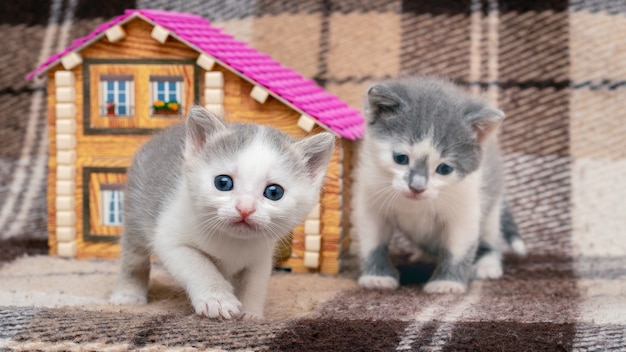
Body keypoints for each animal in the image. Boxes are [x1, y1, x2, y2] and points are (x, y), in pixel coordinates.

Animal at [112, 106, 336, 318]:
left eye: (274, 192)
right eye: (223, 182)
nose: (245, 208)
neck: (232, 242)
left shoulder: (261, 256)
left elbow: (255, 284)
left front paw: (250, 313)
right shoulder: (172, 240)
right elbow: (200, 266)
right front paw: (217, 300)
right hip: (135, 214)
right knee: (134, 258)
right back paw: (129, 295)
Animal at [354, 77, 524, 294]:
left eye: (444, 169)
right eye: (400, 158)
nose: (417, 187)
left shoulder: (465, 209)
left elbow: (458, 250)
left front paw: (447, 282)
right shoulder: (370, 199)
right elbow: (372, 242)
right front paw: (378, 277)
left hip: (491, 207)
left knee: (491, 237)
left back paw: (487, 264)